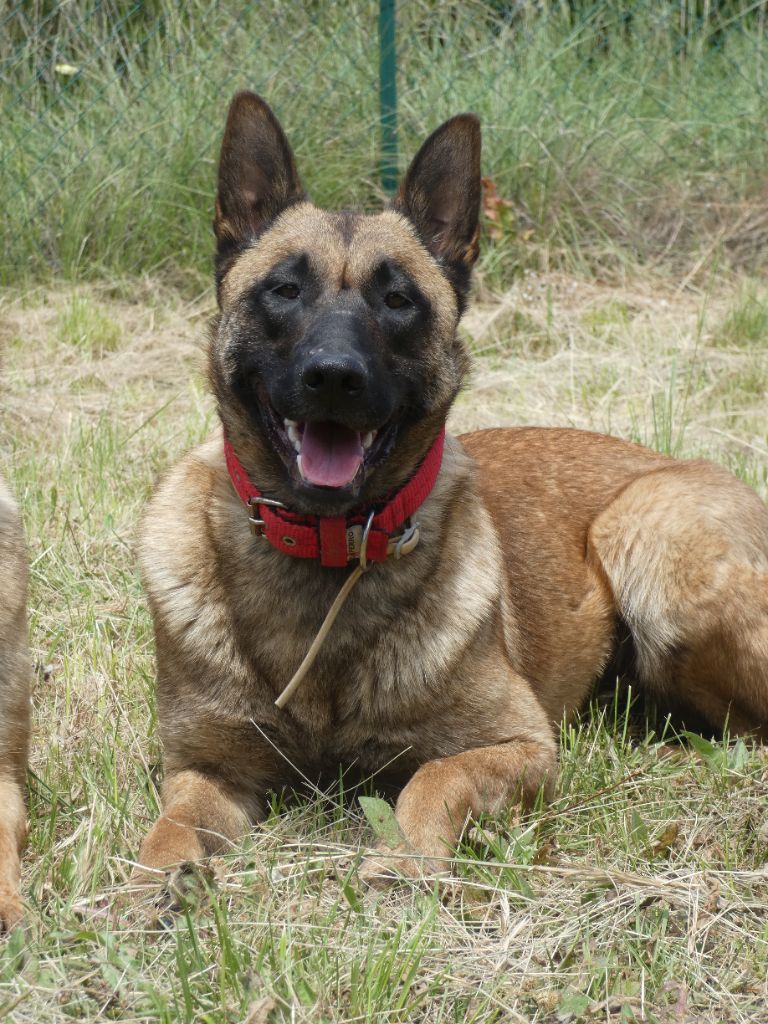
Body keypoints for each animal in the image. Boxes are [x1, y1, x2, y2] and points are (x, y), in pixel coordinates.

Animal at [138, 92, 768, 884]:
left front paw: (401, 863)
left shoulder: (518, 745)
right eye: (282, 290)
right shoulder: (208, 769)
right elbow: (167, 829)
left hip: (652, 553)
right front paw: (152, 886)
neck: (325, 559)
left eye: (398, 299)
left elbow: (432, 779)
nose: (333, 376)